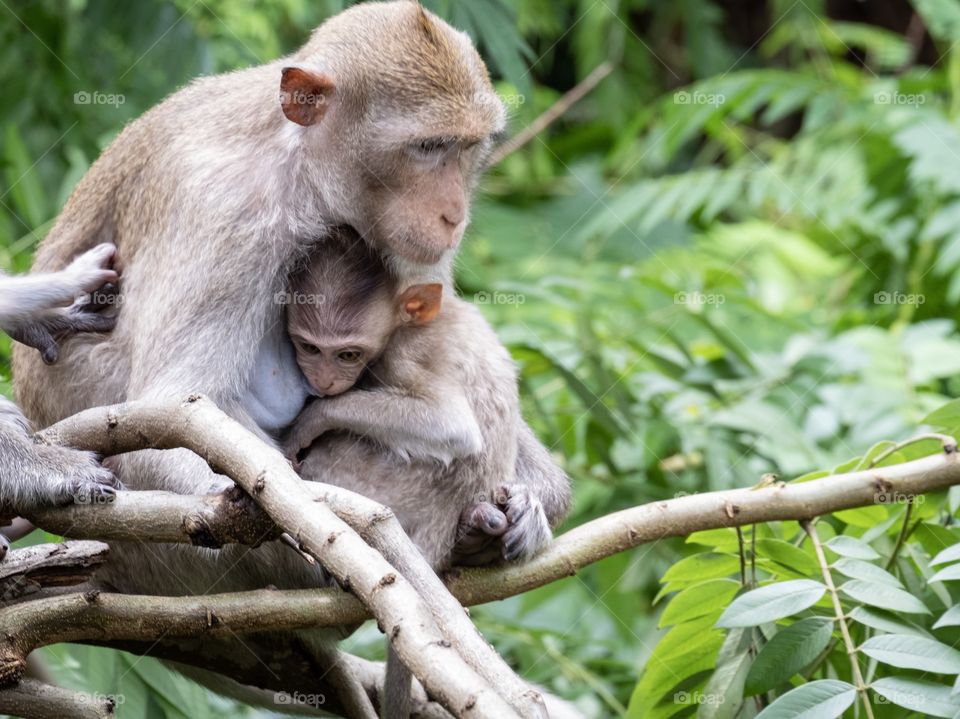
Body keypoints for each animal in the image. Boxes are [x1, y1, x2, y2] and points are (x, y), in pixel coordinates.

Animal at [11, 1, 520, 716]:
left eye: (467, 148)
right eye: (427, 148)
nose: (454, 215)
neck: (295, 164)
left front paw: (532, 505)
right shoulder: (229, 210)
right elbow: (173, 407)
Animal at [284, 228, 568, 572]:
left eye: (348, 355)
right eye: (310, 348)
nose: (324, 380)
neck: (403, 326)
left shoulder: (404, 353)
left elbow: (452, 426)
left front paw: (315, 418)